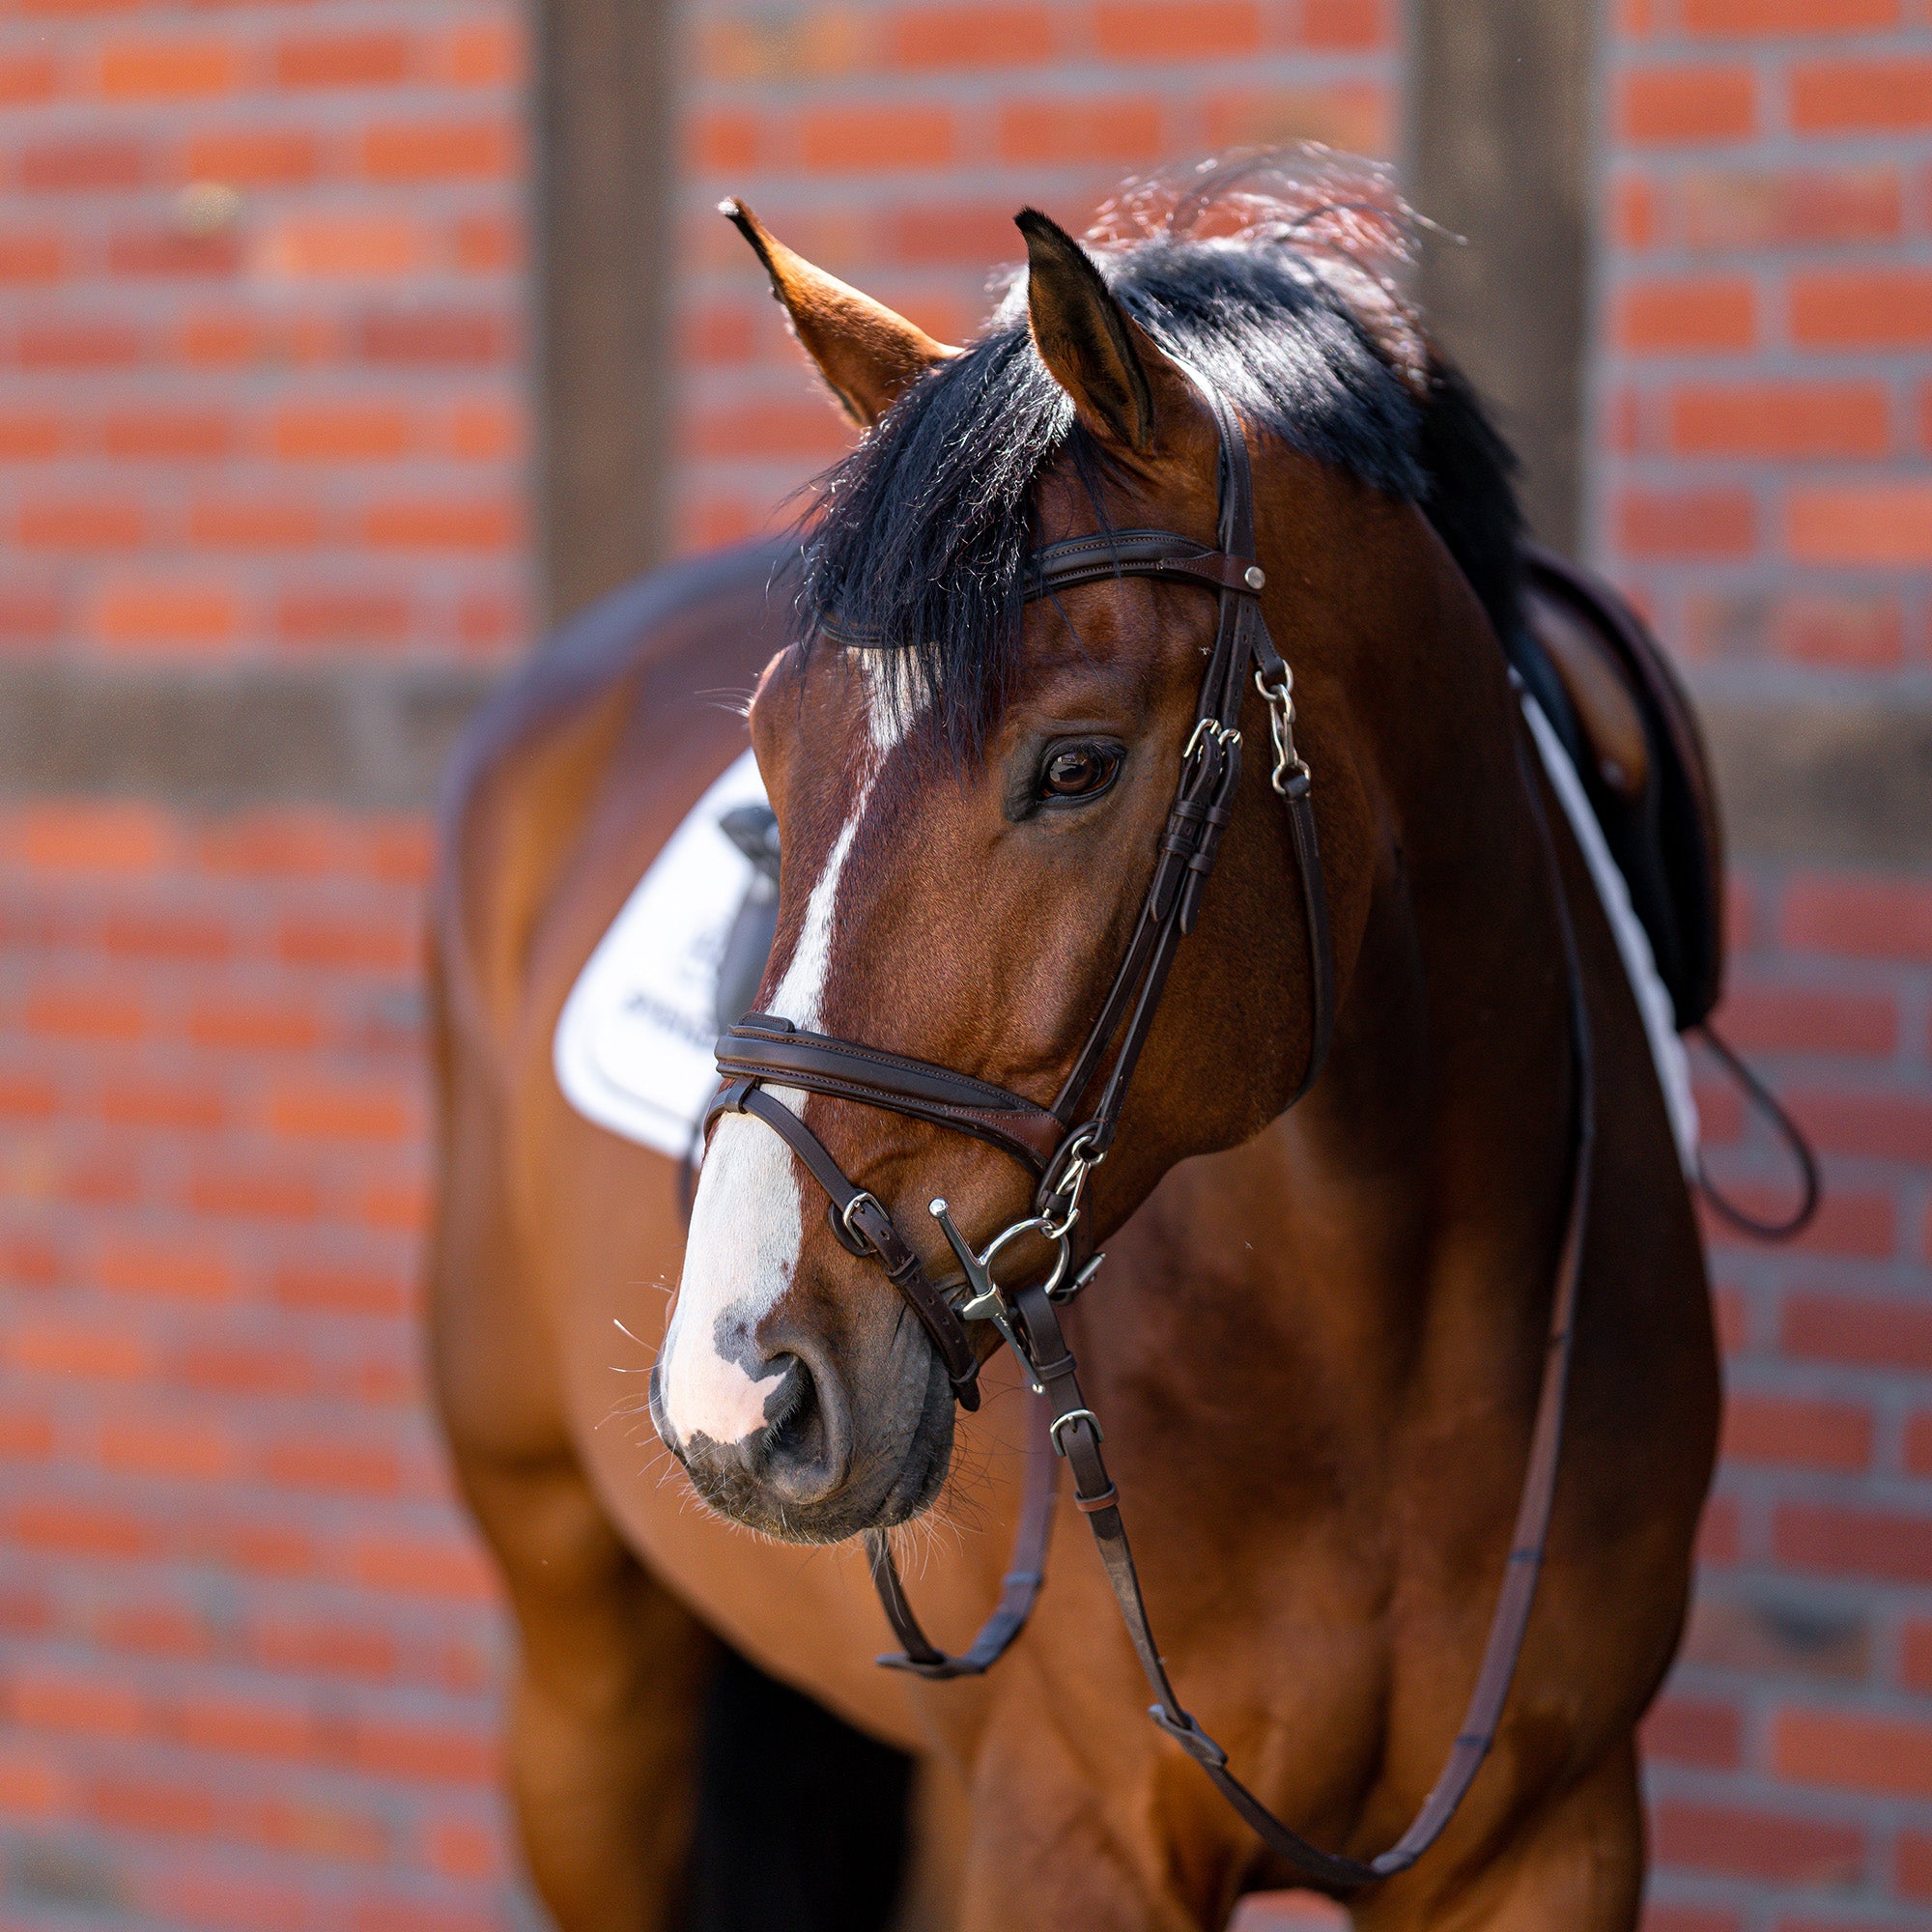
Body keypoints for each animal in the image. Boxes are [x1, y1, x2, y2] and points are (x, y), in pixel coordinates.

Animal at [431, 162, 1716, 1932]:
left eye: (1078, 765)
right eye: (768, 749)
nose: (741, 1389)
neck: (1383, 1334)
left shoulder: (1556, 1842)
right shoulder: (1073, 1839)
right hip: (588, 1676)